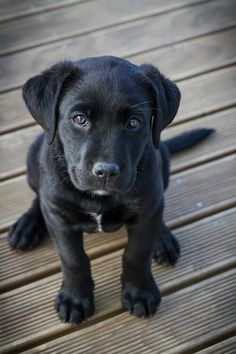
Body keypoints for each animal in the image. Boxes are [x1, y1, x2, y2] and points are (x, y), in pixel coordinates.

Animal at [8, 56, 212, 324]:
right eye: (79, 119)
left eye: (134, 123)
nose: (105, 172)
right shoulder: (59, 218)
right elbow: (73, 259)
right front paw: (75, 299)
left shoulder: (145, 209)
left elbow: (137, 253)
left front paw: (139, 292)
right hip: (34, 157)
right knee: (38, 198)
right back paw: (27, 225)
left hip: (162, 162)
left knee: (158, 210)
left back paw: (163, 239)